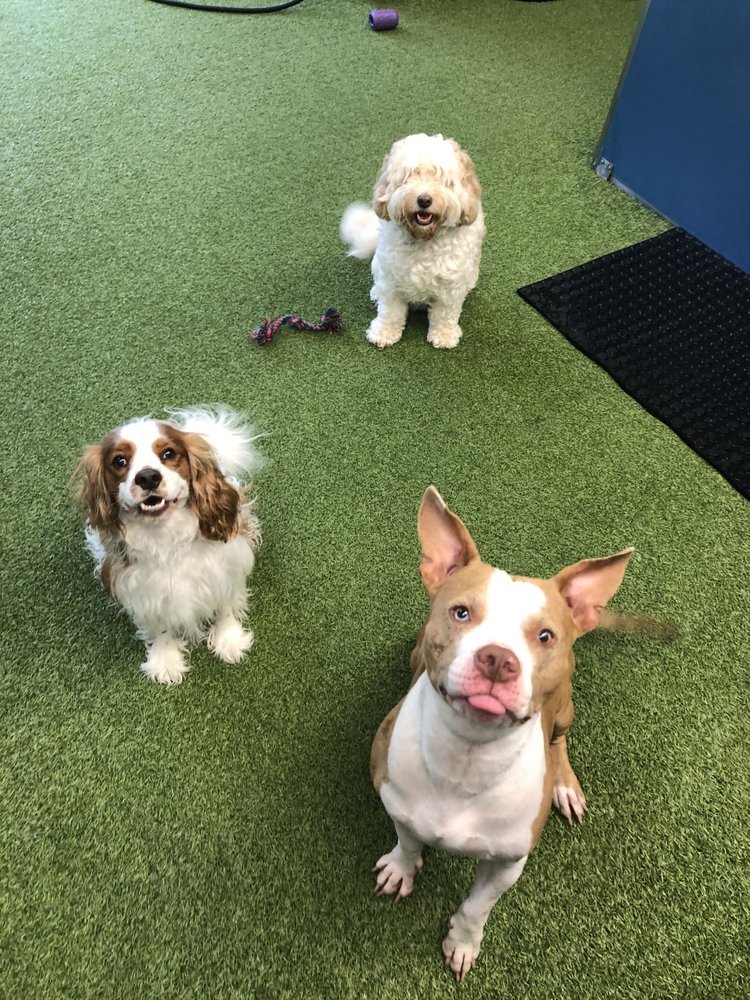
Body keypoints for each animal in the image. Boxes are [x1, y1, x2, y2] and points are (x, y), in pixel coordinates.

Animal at [77, 406, 262, 685]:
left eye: (168, 454)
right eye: (119, 461)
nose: (148, 477)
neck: (164, 536)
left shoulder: (226, 566)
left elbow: (225, 606)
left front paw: (230, 641)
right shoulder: (142, 589)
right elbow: (160, 626)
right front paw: (165, 661)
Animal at [340, 133, 484, 349]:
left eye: (442, 179)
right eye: (408, 176)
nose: (424, 200)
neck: (423, 239)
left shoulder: (450, 288)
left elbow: (445, 314)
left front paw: (444, 335)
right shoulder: (391, 280)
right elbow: (390, 312)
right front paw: (384, 332)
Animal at [371, 486, 635, 980]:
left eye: (545, 636)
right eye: (461, 613)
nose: (497, 659)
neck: (467, 755)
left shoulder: (508, 863)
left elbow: (477, 907)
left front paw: (462, 942)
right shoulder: (396, 800)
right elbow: (408, 840)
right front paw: (402, 867)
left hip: (564, 705)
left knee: (558, 741)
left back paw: (565, 785)